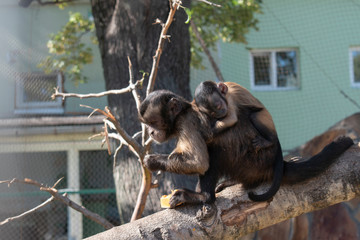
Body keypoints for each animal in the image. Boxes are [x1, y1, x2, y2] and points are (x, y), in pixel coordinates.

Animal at [139, 89, 354, 207]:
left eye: (154, 122)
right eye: (148, 124)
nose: (151, 132)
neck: (182, 112)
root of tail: (274, 162)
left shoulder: (187, 122)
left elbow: (199, 162)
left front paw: (153, 161)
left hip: (253, 161)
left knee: (215, 152)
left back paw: (204, 197)